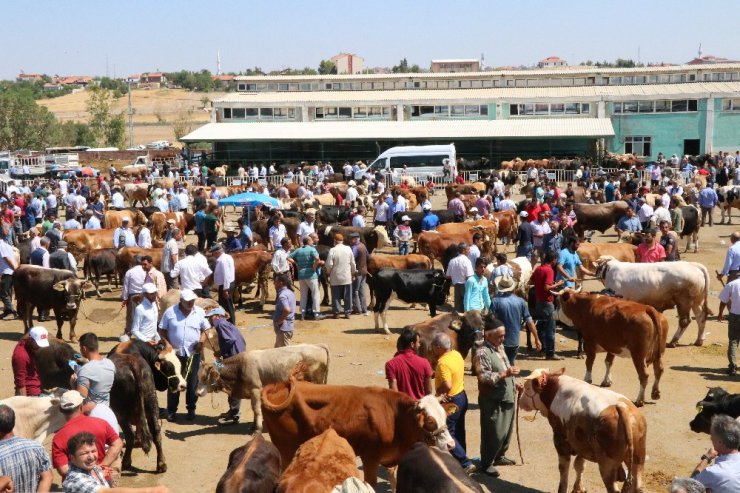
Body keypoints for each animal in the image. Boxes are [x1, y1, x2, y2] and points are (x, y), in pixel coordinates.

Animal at [197, 342, 330, 430]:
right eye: (198, 377)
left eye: (205, 377)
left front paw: (258, 428)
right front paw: (253, 425)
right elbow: (254, 409)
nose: (197, 393)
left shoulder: (255, 389)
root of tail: (318, 346)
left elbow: (256, 408)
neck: (240, 367)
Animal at [260, 380, 456, 484]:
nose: (451, 444)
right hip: (286, 449)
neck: (395, 417)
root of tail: (278, 385)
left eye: (445, 416)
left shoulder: (392, 459)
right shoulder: (370, 458)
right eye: (430, 421)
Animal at [516, 368, 644, 492]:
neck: (555, 391)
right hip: (637, 459)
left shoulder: (560, 440)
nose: (520, 400)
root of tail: (620, 407)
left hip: (607, 465)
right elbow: (579, 465)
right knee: (637, 485)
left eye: (528, 387)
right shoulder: (581, 444)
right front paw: (578, 488)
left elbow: (564, 470)